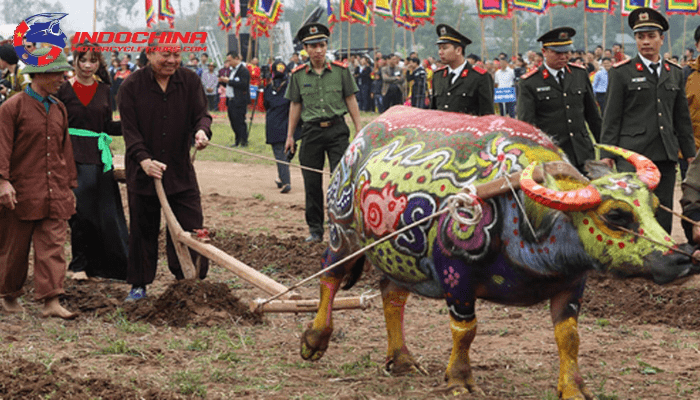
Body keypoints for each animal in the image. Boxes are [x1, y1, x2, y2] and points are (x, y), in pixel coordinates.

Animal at [300, 104, 700, 398]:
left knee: (391, 296)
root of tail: (358, 143)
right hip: (342, 234)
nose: (682, 258)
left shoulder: (572, 283)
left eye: (653, 206)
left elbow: (569, 337)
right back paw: (315, 339)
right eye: (616, 216)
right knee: (329, 279)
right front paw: (459, 380)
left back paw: (401, 360)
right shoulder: (456, 277)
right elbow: (465, 331)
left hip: (398, 255)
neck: (521, 217)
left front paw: (573, 388)